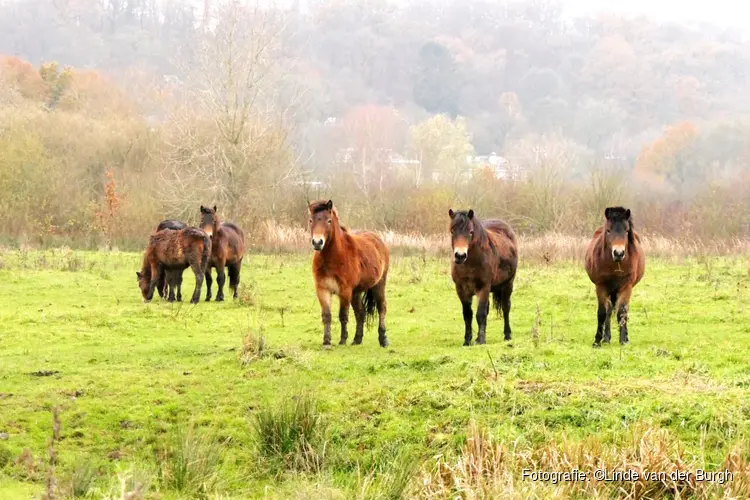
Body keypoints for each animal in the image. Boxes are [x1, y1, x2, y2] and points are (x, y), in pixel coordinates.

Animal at [312, 199, 394, 348]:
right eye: (311, 220)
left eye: (329, 221)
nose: (317, 242)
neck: (333, 257)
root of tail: (378, 239)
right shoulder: (322, 290)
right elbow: (326, 316)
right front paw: (326, 342)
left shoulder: (345, 291)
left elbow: (343, 315)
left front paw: (343, 340)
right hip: (356, 292)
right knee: (361, 313)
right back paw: (357, 339)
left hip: (379, 285)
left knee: (382, 308)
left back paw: (383, 339)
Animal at [450, 209, 520, 346]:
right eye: (452, 231)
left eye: (471, 232)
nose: (460, 256)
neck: (470, 264)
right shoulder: (461, 290)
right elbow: (468, 315)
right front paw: (467, 340)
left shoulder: (483, 288)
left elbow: (480, 314)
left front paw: (480, 340)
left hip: (508, 285)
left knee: (506, 308)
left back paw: (507, 335)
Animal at [588, 207, 648, 348]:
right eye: (608, 230)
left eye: (626, 231)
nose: (619, 253)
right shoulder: (601, 286)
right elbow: (602, 313)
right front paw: (597, 341)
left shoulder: (626, 287)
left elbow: (622, 312)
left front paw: (623, 340)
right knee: (609, 310)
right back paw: (606, 338)